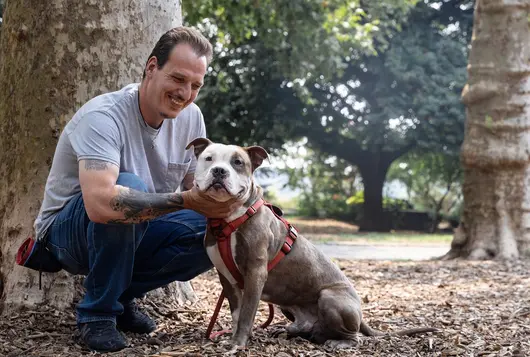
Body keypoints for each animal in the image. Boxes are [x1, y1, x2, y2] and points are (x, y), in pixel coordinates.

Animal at [186, 138, 438, 350]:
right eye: (209, 158)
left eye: (238, 162)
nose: (219, 171)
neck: (228, 218)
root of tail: (360, 312)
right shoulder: (226, 278)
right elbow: (236, 313)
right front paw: (231, 338)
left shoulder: (256, 273)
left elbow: (247, 314)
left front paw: (238, 344)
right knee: (314, 329)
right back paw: (294, 332)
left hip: (330, 297)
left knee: (353, 336)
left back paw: (339, 343)